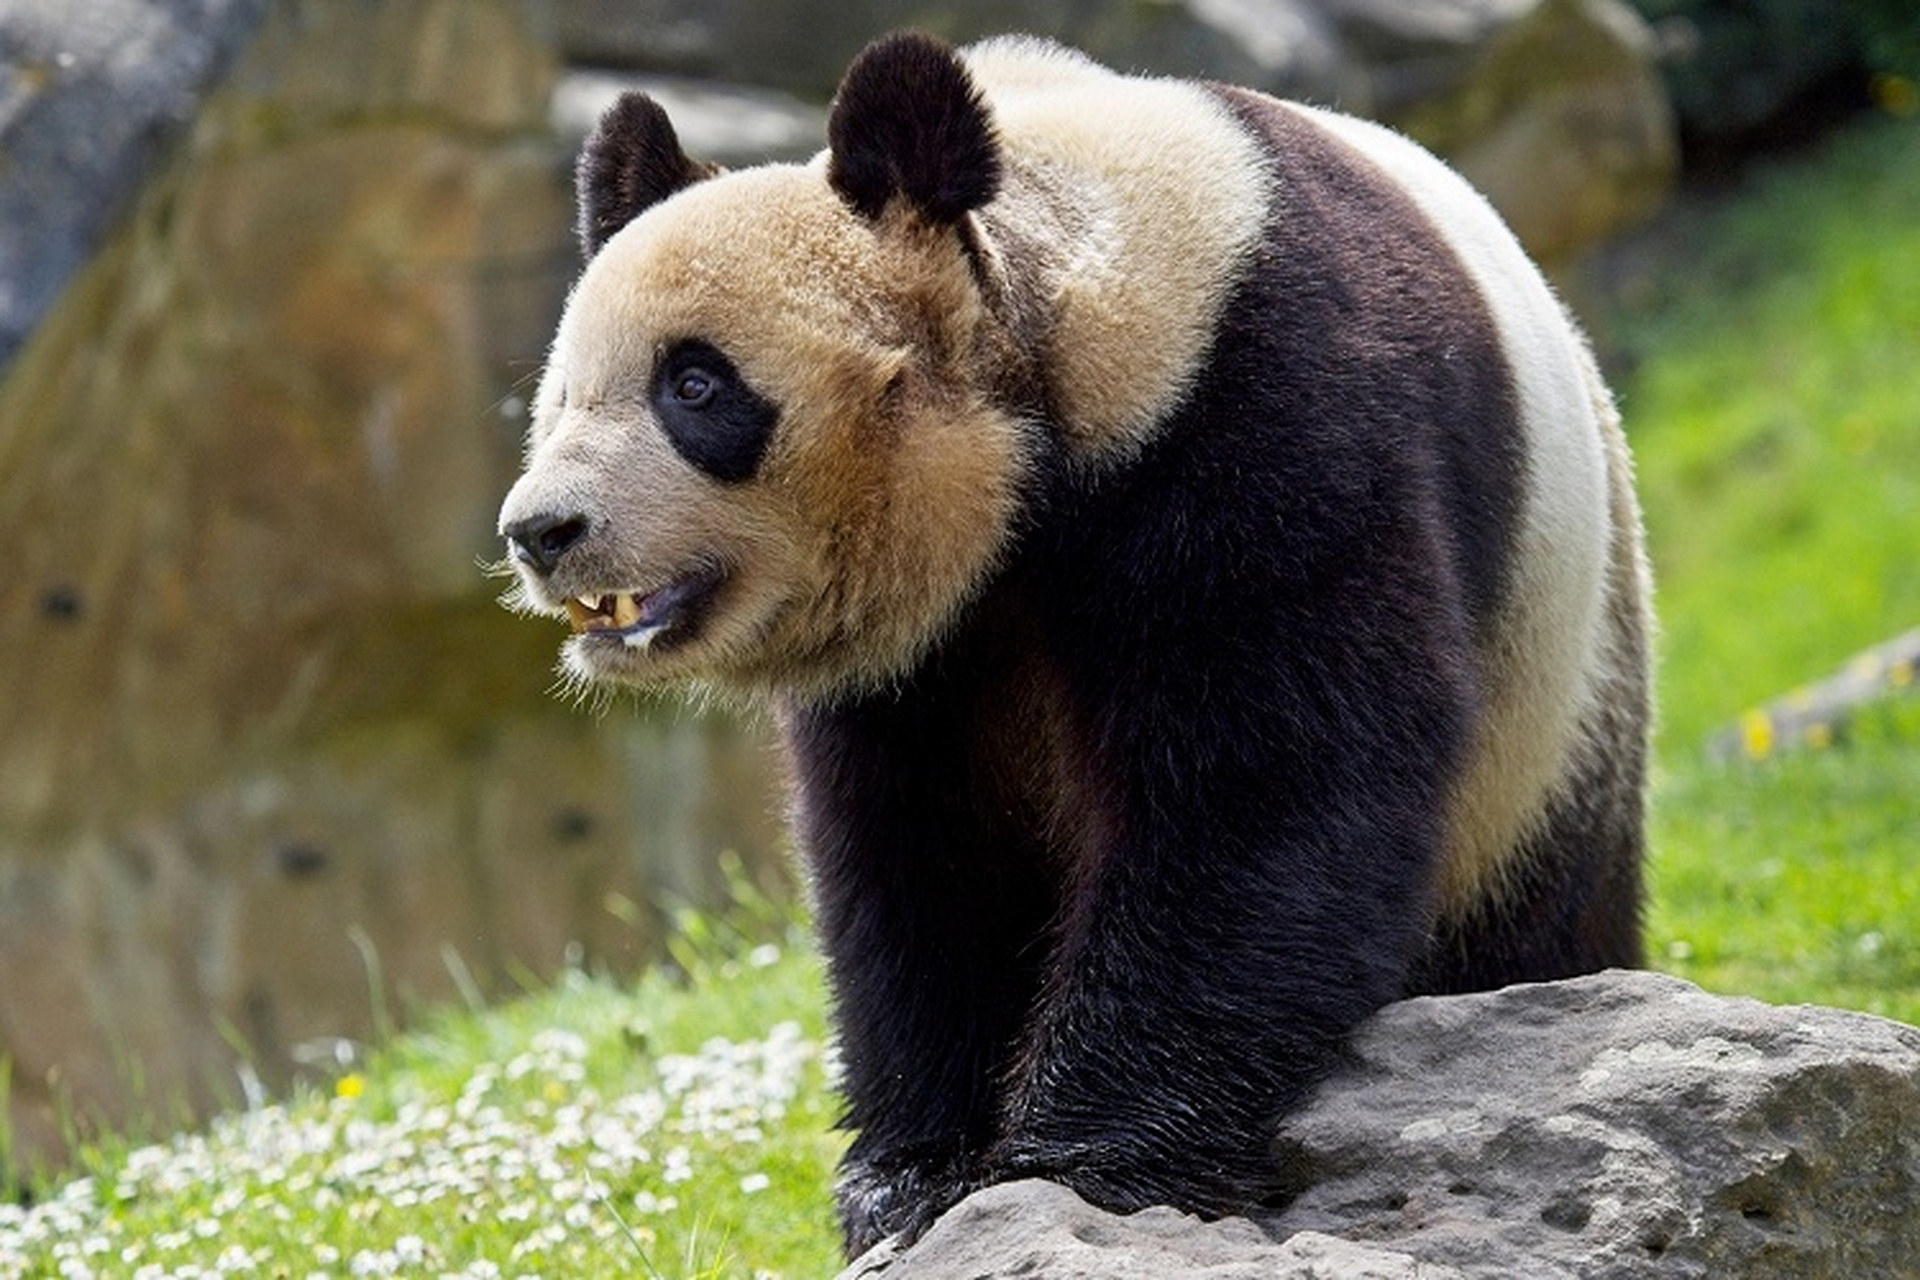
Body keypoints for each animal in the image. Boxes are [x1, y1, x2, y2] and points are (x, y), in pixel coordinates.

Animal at [495, 29, 1651, 1258]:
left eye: (696, 383)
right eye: (561, 398)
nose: (542, 531)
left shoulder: (1264, 416)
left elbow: (1267, 784)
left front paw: (1088, 1161)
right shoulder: (920, 652)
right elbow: (912, 853)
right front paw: (911, 1175)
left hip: (1551, 718)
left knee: (1532, 928)